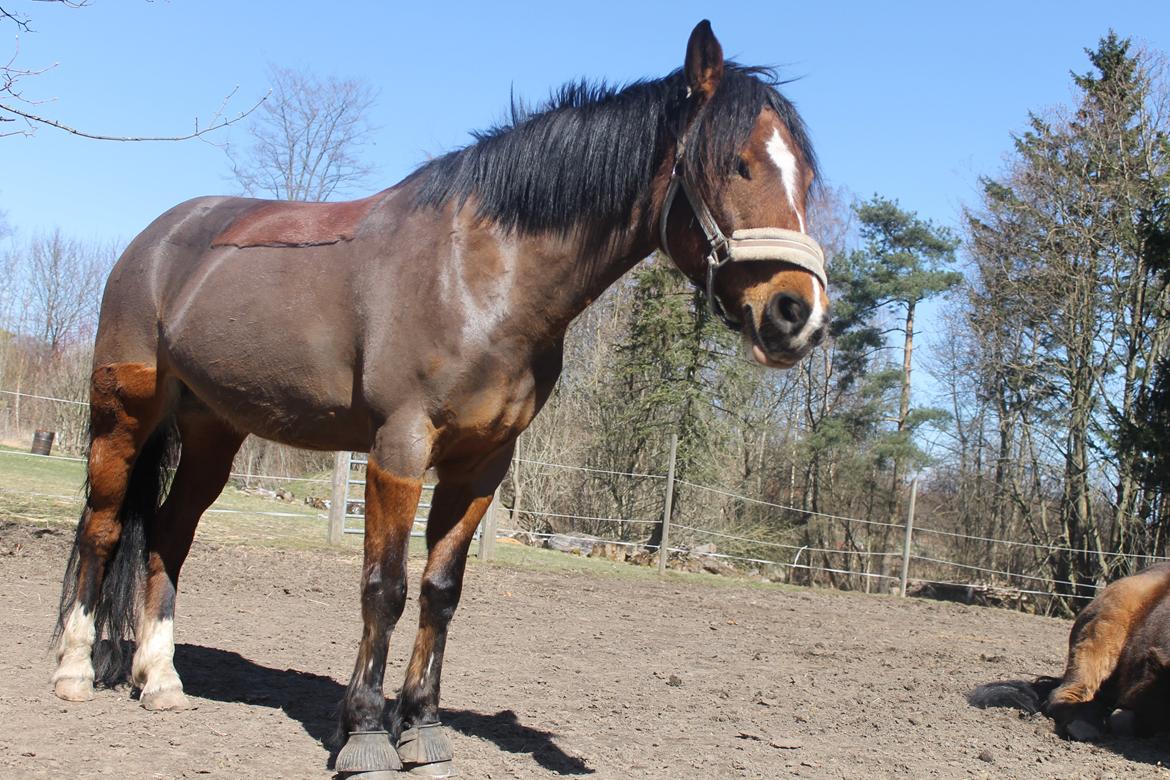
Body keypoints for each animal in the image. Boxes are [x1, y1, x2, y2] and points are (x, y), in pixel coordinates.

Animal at [50, 21, 828, 776]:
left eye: (806, 178)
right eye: (737, 164)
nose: (800, 314)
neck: (483, 274)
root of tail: (158, 239)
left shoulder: (481, 465)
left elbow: (440, 592)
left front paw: (420, 728)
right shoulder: (398, 449)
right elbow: (385, 587)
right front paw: (365, 734)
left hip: (213, 431)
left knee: (169, 537)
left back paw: (161, 681)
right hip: (122, 419)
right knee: (103, 529)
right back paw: (73, 671)